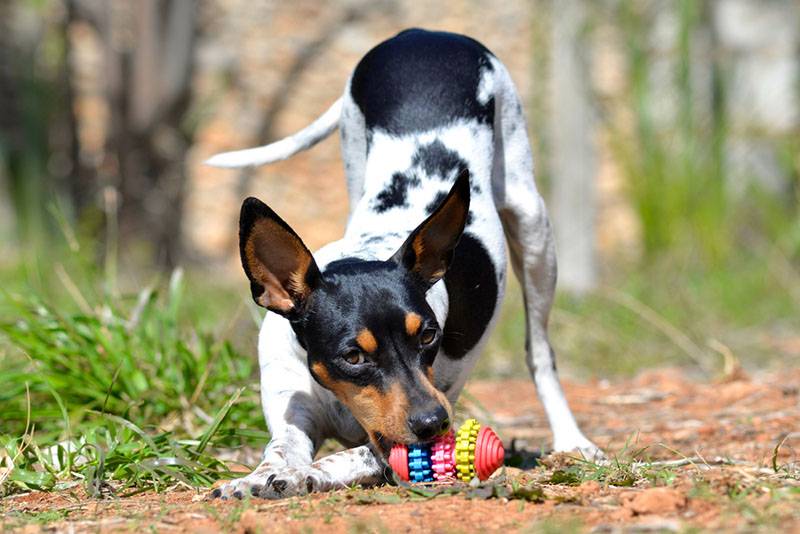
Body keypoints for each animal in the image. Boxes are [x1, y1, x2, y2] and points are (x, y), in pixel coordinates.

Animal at [206, 28, 600, 502]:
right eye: (353, 356)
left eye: (428, 335)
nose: (435, 423)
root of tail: (423, 35)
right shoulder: (292, 407)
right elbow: (282, 448)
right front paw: (259, 475)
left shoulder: (390, 441)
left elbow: (344, 457)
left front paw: (303, 476)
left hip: (534, 227)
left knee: (540, 352)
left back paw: (573, 439)